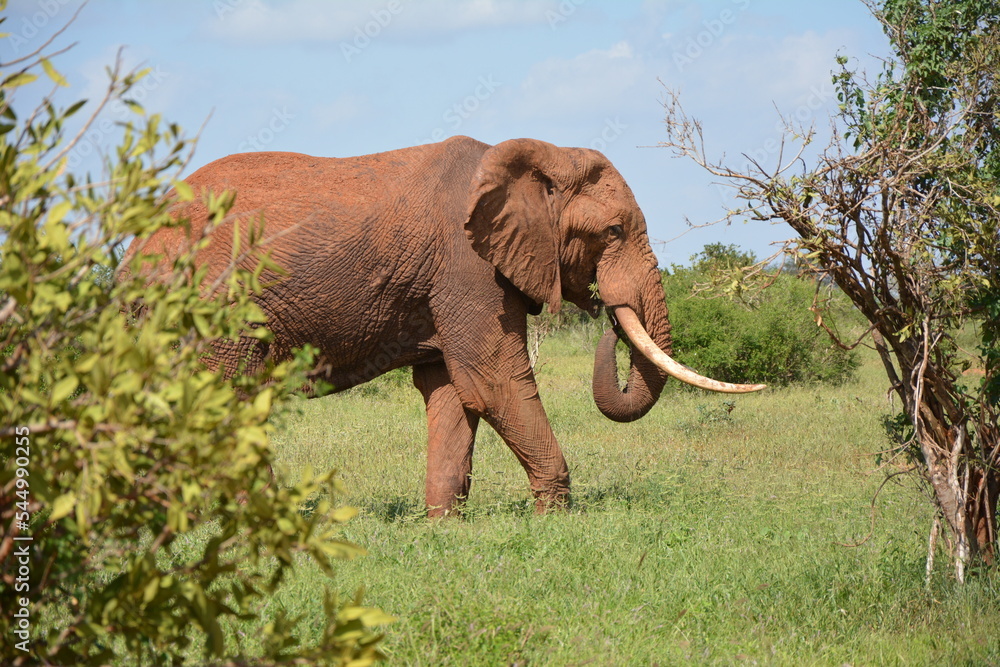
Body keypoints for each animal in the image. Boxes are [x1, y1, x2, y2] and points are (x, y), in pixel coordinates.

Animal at [123, 136, 764, 516]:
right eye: (612, 232)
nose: (607, 313)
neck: (539, 155)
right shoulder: (469, 269)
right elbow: (494, 381)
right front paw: (556, 517)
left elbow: (452, 393)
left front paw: (444, 526)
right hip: (211, 306)